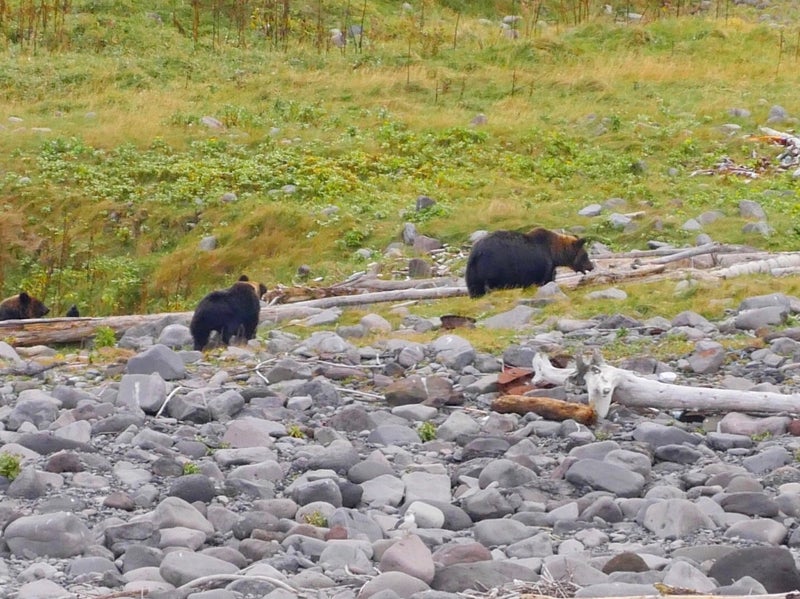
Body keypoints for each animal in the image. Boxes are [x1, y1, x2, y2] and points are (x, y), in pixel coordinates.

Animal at [462, 227, 592, 298]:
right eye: (585, 255)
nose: (591, 266)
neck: (554, 254)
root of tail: (477, 252)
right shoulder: (543, 265)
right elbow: (545, 280)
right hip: (492, 267)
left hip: (473, 271)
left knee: (475, 289)